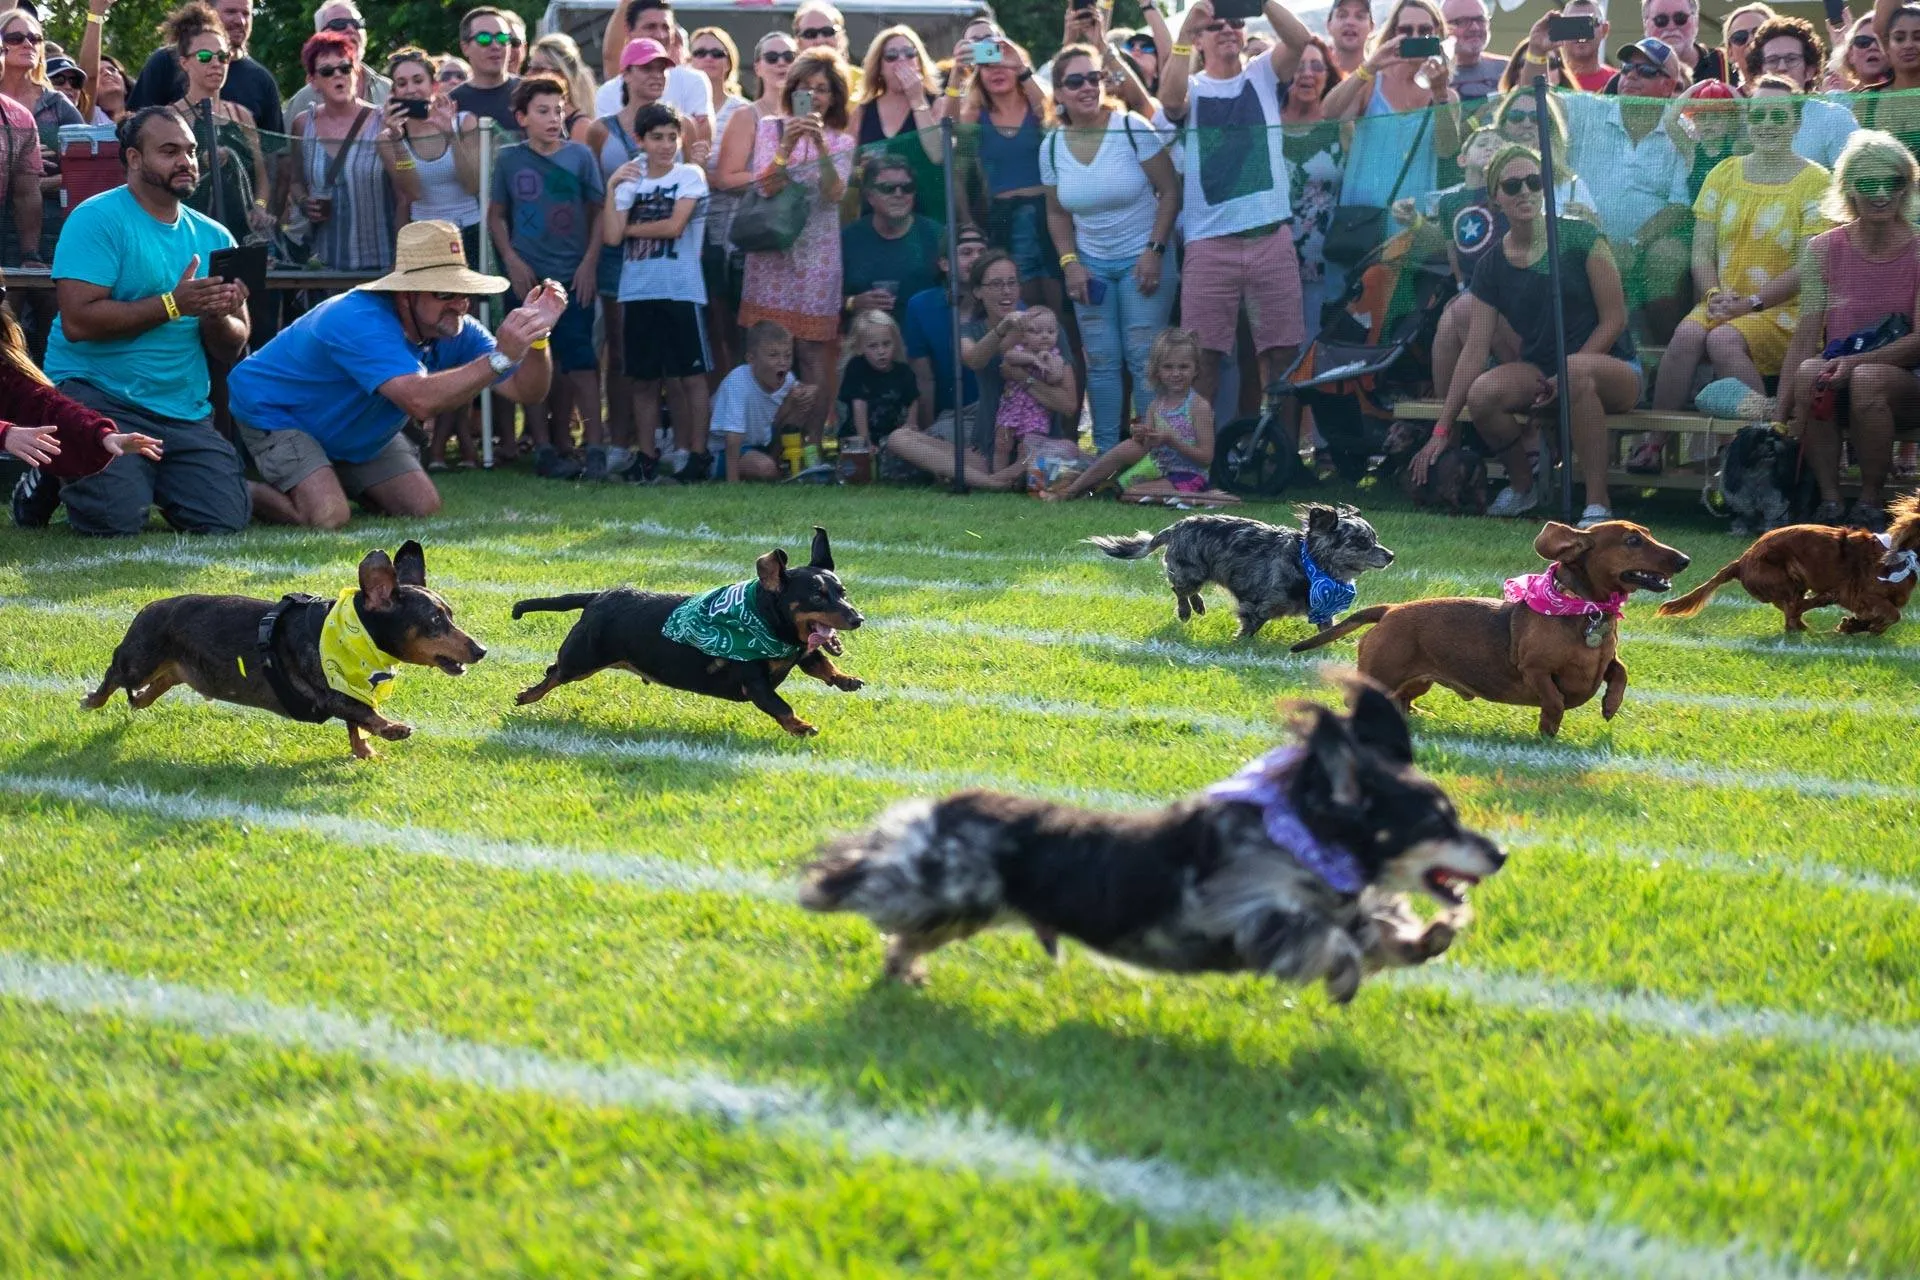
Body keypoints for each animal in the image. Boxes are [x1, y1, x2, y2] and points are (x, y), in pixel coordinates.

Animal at [84, 541, 487, 759]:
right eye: (435, 620)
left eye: (450, 614)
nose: (481, 650)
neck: (353, 636)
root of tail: (149, 607)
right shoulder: (328, 690)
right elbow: (363, 712)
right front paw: (392, 728)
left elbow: (356, 722)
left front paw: (363, 750)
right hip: (137, 660)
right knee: (114, 674)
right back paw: (92, 699)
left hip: (174, 669)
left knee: (155, 686)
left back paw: (141, 699)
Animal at [514, 525, 867, 736]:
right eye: (816, 596)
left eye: (842, 592)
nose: (858, 619)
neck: (766, 622)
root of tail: (598, 596)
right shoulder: (755, 685)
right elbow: (782, 706)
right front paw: (801, 726)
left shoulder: (802, 653)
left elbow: (822, 664)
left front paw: (846, 679)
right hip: (582, 660)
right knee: (554, 672)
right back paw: (528, 695)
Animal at [802, 679, 1505, 997]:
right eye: (1436, 822)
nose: (1499, 853)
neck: (1304, 841)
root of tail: (946, 808)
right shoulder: (1249, 915)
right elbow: (1331, 941)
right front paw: (1347, 974)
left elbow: (1379, 930)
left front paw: (1430, 934)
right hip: (947, 887)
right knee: (876, 886)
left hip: (962, 909)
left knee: (907, 933)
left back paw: (905, 972)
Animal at [1098, 506, 1397, 637]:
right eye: (1361, 542)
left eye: (1375, 538)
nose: (1391, 555)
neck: (1309, 567)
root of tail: (1177, 526)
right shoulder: (1257, 606)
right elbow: (1250, 627)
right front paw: (1239, 643)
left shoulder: (1323, 612)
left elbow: (1328, 630)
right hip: (1190, 572)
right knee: (1180, 590)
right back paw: (1186, 611)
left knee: (1190, 592)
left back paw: (1199, 606)